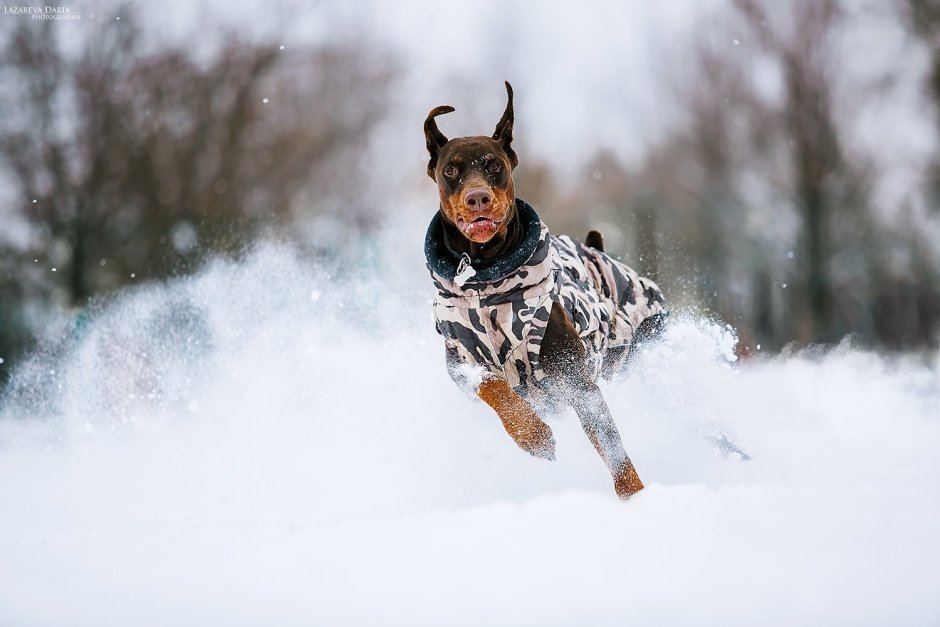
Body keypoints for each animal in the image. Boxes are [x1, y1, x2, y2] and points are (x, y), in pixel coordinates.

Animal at [422, 82, 664, 500]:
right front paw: (534, 436)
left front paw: (636, 498)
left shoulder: (576, 376)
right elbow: (491, 387)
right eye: (451, 169)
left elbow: (611, 444)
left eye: (493, 164)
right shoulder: (459, 361)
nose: (477, 197)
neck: (486, 279)